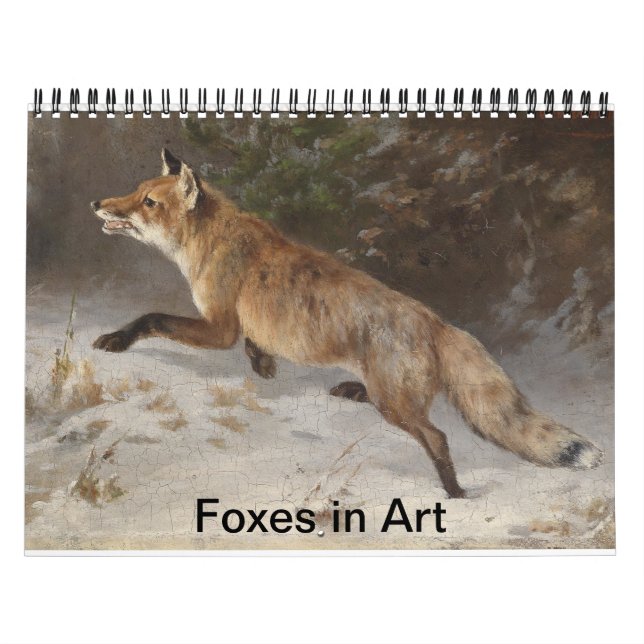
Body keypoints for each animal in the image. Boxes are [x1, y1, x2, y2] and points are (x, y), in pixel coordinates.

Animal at [90, 148, 603, 498]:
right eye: (135, 192)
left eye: (148, 202)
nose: (98, 203)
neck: (210, 242)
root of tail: (437, 322)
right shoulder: (239, 327)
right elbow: (254, 345)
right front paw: (263, 366)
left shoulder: (219, 327)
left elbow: (152, 317)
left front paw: (117, 338)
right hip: (394, 395)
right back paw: (351, 390)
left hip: (397, 405)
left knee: (435, 435)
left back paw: (453, 491)